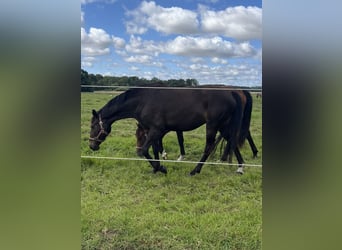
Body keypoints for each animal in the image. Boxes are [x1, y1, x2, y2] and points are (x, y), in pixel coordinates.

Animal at [88, 88, 243, 176]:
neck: (143, 101)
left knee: (209, 148)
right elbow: (155, 149)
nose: (91, 146)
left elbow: (145, 150)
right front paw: (155, 169)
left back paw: (195, 171)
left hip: (212, 125)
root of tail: (231, 93)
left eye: (93, 126)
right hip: (223, 125)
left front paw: (161, 168)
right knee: (232, 142)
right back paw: (240, 168)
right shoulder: (152, 130)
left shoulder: (156, 130)